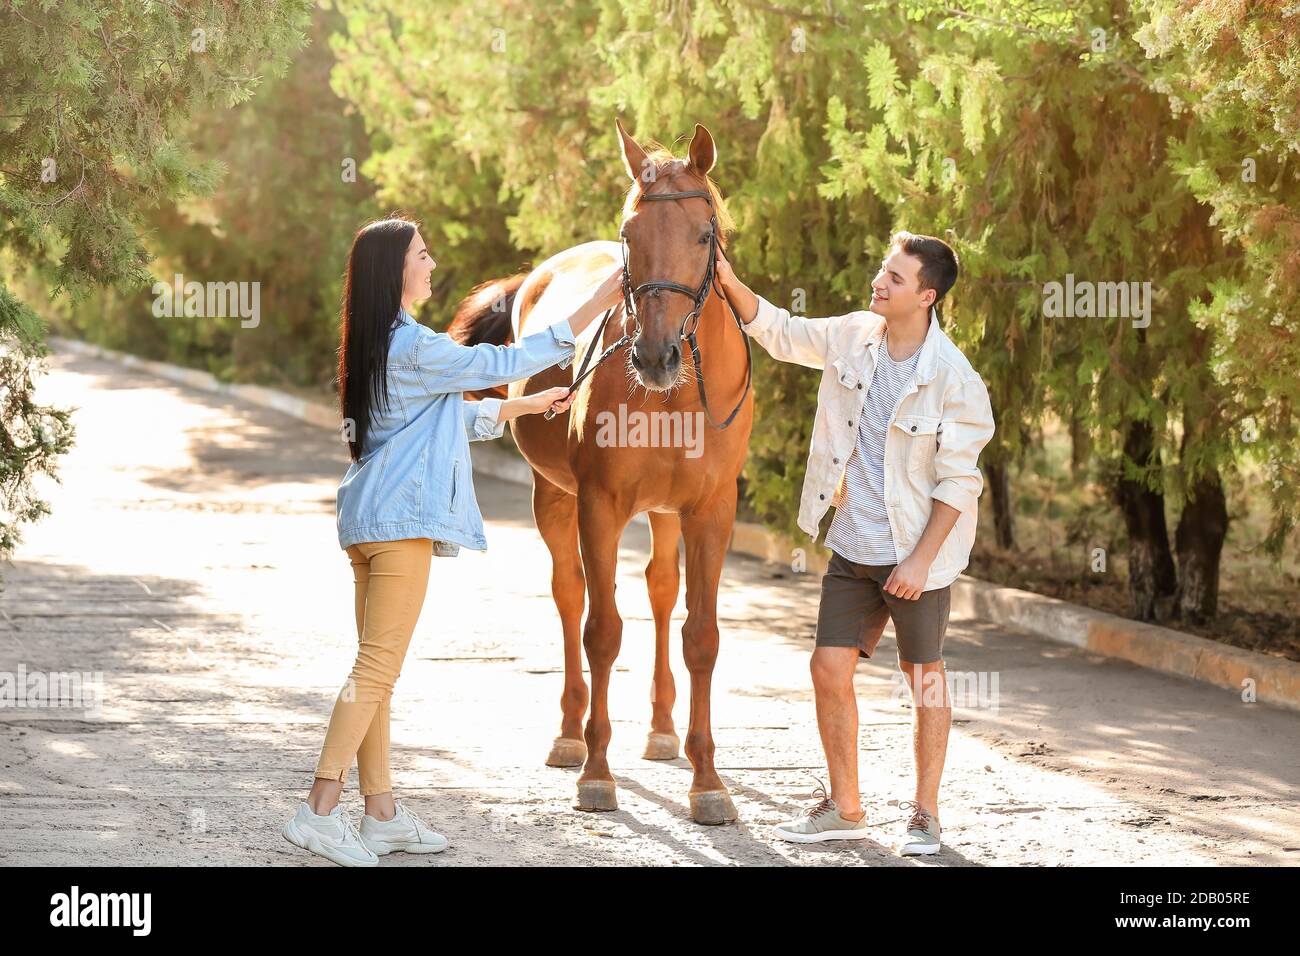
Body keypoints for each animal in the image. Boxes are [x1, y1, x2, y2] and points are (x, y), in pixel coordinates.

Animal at [452, 119, 754, 822]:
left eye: (703, 236)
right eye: (630, 237)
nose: (657, 354)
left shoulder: (710, 512)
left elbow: (701, 636)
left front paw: (708, 782)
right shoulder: (600, 505)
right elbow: (602, 631)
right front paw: (596, 770)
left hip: (666, 514)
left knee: (662, 591)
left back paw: (665, 732)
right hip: (554, 497)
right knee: (570, 595)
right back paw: (568, 734)